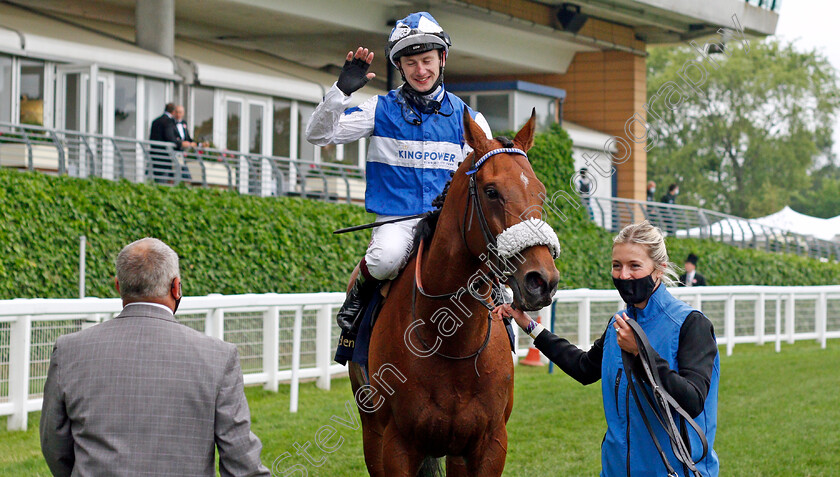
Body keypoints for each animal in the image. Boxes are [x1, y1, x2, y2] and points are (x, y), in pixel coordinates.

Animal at [344, 110, 560, 476]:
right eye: (491, 191)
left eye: (541, 193)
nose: (541, 281)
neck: (450, 341)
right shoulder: (396, 446)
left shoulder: (488, 444)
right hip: (371, 431)